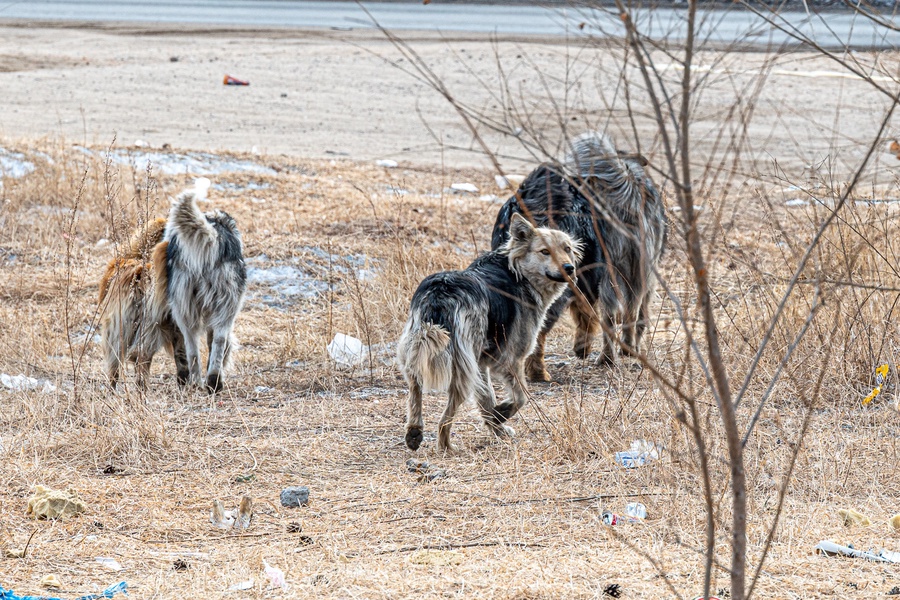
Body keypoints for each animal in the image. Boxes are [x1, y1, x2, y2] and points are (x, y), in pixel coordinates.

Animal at [164, 178, 246, 394]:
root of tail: (211, 237)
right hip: (226, 304)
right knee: (217, 341)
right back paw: (212, 381)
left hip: (185, 306)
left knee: (193, 346)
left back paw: (200, 381)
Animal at [398, 213, 580, 452]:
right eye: (545, 251)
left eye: (567, 249)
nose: (569, 268)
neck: (518, 272)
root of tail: (441, 291)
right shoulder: (510, 359)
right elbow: (521, 396)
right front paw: (501, 415)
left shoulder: (482, 362)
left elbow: (487, 399)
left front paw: (497, 427)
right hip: (462, 368)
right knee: (445, 416)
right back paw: (447, 446)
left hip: (420, 351)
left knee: (415, 388)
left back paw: (414, 432)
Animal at [488, 131, 664, 380]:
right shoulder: (634, 273)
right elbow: (631, 315)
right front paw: (627, 348)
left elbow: (587, 312)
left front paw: (584, 346)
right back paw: (543, 370)